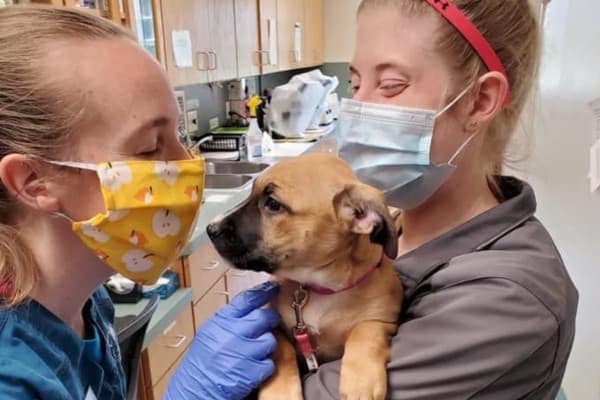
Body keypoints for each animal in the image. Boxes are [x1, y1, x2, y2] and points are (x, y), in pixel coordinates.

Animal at [206, 153, 404, 400]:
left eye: (273, 204)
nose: (210, 229)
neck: (321, 286)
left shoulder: (383, 320)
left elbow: (364, 331)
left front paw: (361, 380)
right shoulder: (274, 325)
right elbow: (281, 350)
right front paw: (280, 392)